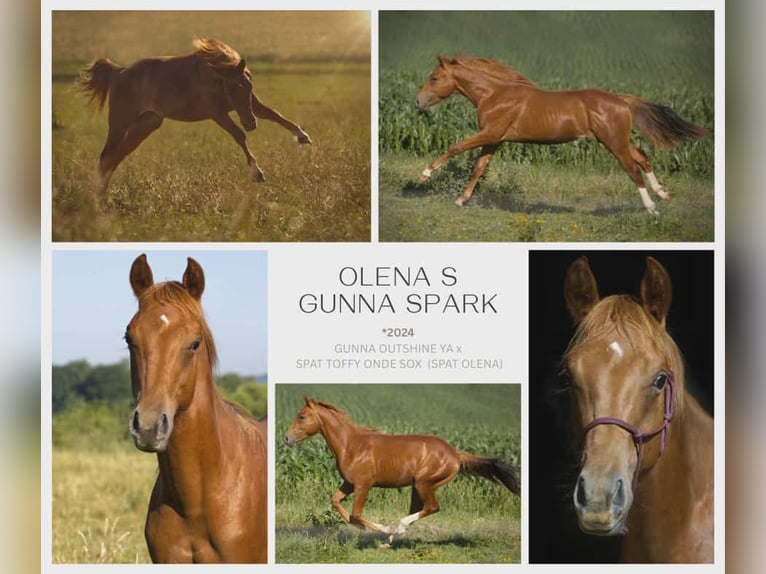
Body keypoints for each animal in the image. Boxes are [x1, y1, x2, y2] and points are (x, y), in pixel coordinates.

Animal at [78, 38, 312, 192]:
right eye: (231, 88)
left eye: (247, 84)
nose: (250, 123)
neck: (215, 77)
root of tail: (119, 72)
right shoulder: (217, 113)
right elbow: (239, 135)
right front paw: (257, 173)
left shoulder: (251, 103)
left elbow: (275, 114)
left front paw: (303, 136)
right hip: (120, 123)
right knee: (106, 156)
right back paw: (98, 198)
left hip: (146, 125)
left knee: (116, 156)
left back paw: (103, 195)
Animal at [284, 396, 520, 545]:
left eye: (301, 416)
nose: (286, 438)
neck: (351, 446)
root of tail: (455, 453)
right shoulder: (349, 484)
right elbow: (336, 502)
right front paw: (362, 529)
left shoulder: (363, 484)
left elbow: (356, 513)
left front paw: (380, 529)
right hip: (418, 486)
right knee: (419, 509)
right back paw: (391, 539)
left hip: (424, 483)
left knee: (432, 507)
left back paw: (394, 530)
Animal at [415, 55, 707, 213]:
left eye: (434, 78)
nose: (417, 102)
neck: (495, 95)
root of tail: (622, 100)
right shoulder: (495, 140)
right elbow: (478, 168)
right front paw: (461, 199)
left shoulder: (489, 134)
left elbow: (456, 147)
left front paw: (424, 175)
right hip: (618, 141)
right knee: (644, 157)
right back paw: (663, 194)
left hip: (614, 143)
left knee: (633, 169)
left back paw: (652, 208)